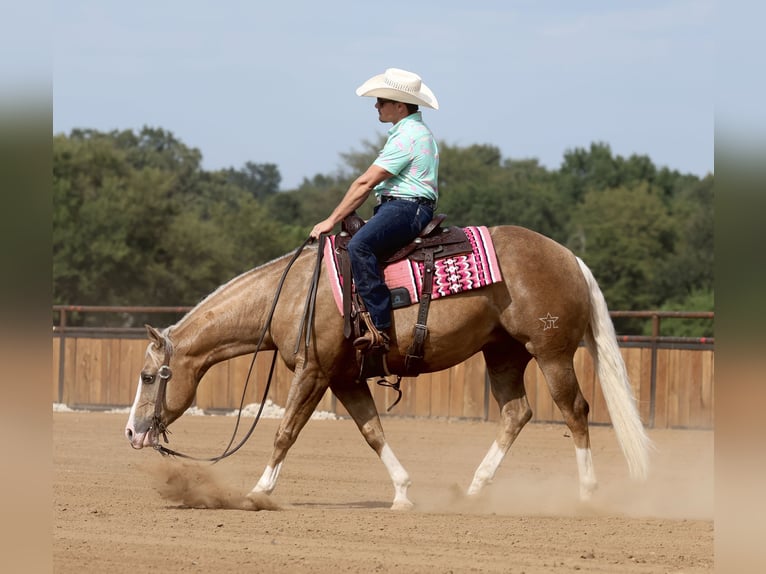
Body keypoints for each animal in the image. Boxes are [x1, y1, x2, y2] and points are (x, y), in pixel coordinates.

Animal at [125, 225, 651, 509]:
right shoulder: (344, 377)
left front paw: (257, 492)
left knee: (575, 410)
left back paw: (587, 493)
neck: (293, 294)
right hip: (503, 353)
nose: (131, 432)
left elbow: (285, 432)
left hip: (551, 353)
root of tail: (570, 257)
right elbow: (372, 431)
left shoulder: (314, 372)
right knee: (515, 413)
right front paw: (402, 492)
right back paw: (475, 490)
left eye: (149, 377)